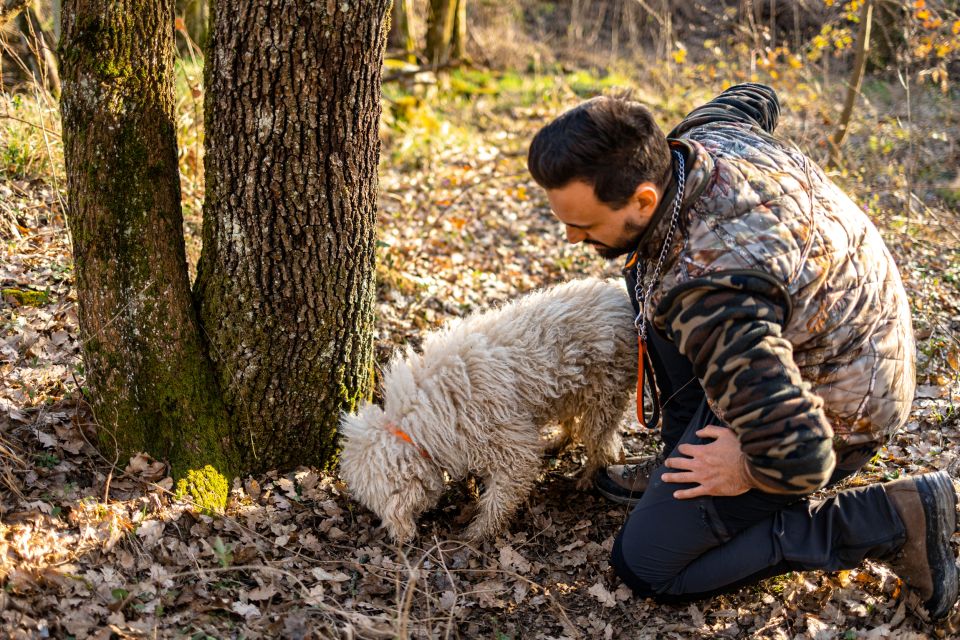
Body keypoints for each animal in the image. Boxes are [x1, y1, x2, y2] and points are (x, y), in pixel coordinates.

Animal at [338, 278, 636, 544]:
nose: (399, 539)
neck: (420, 418)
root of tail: (619, 295)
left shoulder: (511, 448)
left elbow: (500, 497)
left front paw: (479, 532)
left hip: (604, 396)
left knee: (603, 444)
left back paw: (588, 477)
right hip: (570, 392)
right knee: (574, 425)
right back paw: (558, 442)